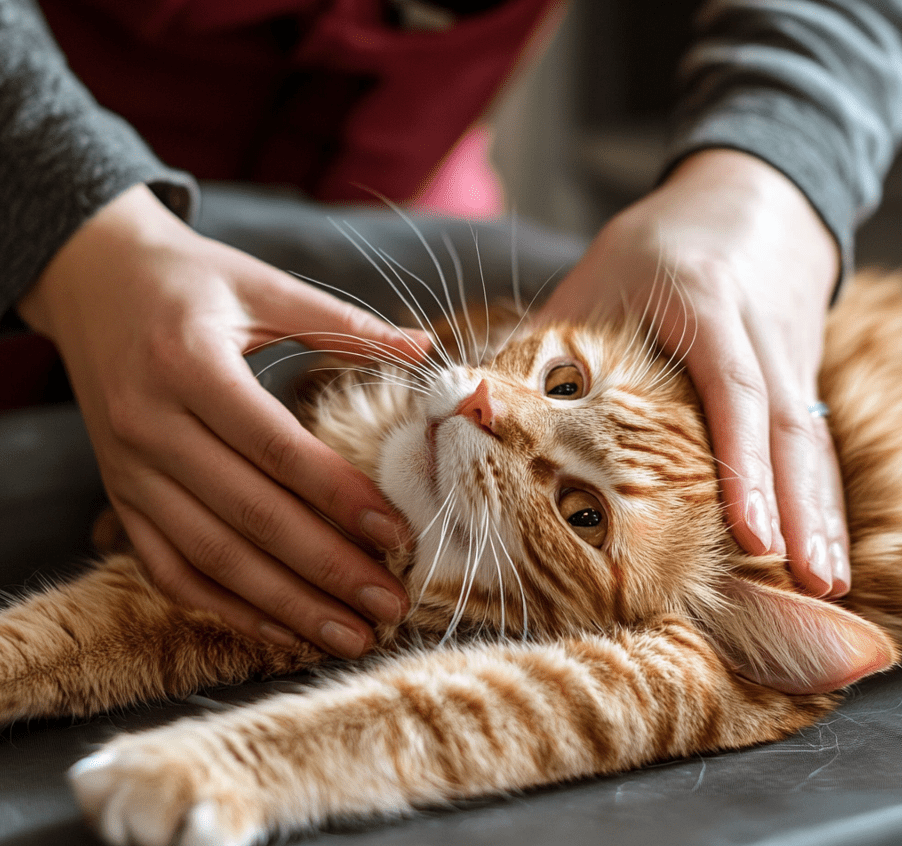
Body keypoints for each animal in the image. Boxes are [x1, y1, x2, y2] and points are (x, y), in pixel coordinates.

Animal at [1, 272, 902, 846]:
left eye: (585, 517)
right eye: (564, 383)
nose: (480, 405)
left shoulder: (634, 680)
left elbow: (401, 717)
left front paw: (176, 772)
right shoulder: (242, 570)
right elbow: (48, 635)